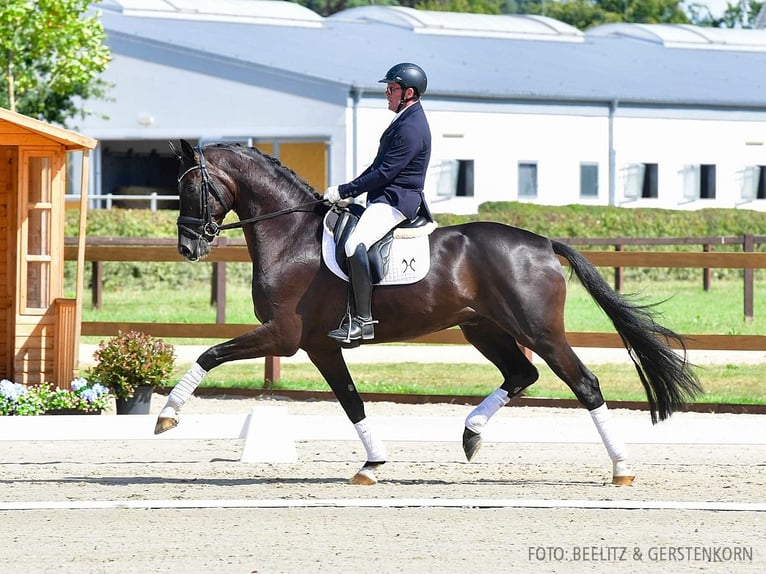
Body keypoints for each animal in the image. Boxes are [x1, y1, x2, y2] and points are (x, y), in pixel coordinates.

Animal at [156, 140, 704, 486]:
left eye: (192, 188)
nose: (187, 247)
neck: (291, 237)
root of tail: (544, 243)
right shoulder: (319, 345)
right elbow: (351, 401)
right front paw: (372, 465)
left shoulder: (283, 335)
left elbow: (210, 353)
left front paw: (167, 415)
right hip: (483, 327)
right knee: (521, 373)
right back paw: (471, 434)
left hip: (538, 330)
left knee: (583, 383)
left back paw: (621, 468)